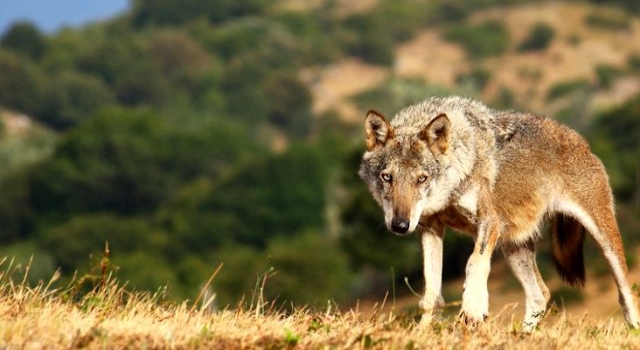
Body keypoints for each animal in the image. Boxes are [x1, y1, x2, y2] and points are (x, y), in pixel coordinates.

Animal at [360, 95, 640, 330]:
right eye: (387, 177)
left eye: (421, 179)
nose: (400, 225)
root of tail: (582, 142)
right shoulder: (430, 228)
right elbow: (431, 292)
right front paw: (423, 331)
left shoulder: (488, 222)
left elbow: (474, 262)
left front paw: (473, 307)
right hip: (513, 247)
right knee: (541, 294)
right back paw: (522, 337)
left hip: (604, 240)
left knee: (627, 295)